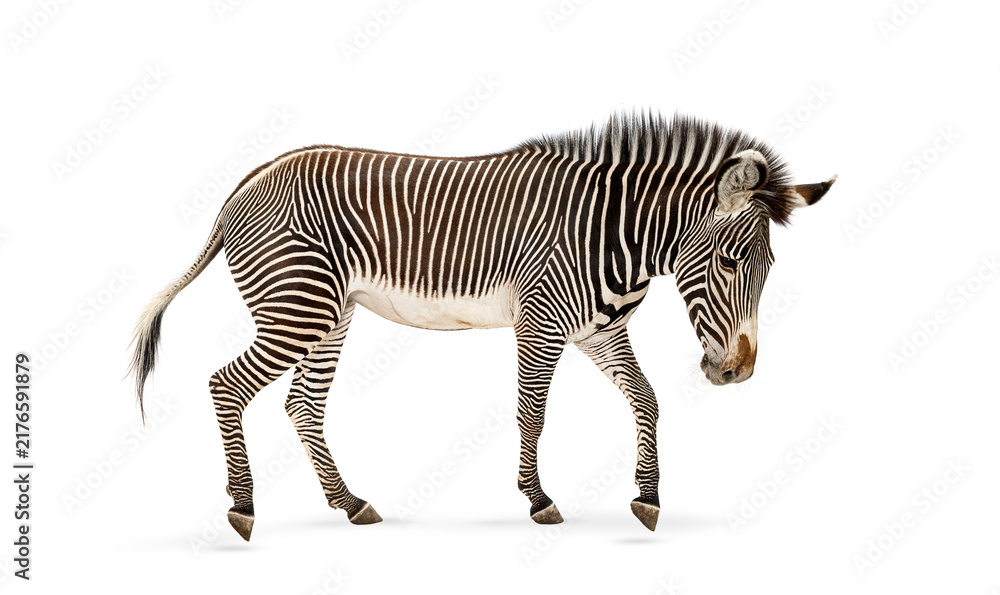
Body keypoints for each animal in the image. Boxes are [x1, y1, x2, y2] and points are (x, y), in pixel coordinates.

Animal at [129, 113, 835, 541]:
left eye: (768, 268)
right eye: (728, 261)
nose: (737, 371)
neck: (618, 235)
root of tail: (250, 179)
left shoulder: (598, 332)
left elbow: (646, 400)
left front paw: (648, 497)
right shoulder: (541, 321)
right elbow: (533, 413)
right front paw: (538, 499)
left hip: (330, 313)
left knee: (303, 405)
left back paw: (350, 503)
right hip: (297, 307)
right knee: (226, 385)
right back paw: (242, 508)